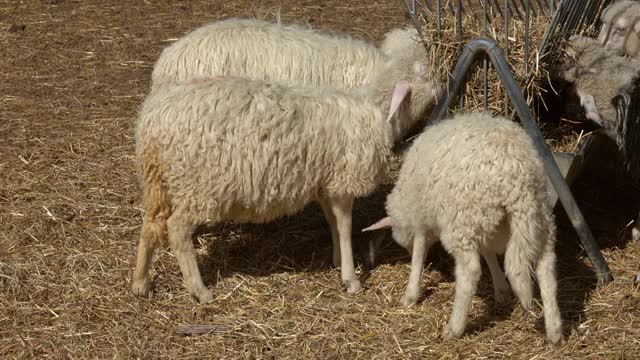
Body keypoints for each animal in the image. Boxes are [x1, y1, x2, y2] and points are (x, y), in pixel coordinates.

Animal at [132, 45, 442, 304]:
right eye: (422, 72)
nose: (441, 82)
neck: (375, 111)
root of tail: (153, 120)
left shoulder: (324, 184)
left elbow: (332, 222)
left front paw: (337, 261)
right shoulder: (342, 181)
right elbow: (344, 226)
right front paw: (351, 279)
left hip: (158, 181)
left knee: (150, 225)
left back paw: (140, 283)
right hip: (198, 185)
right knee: (177, 229)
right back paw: (199, 290)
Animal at [362, 112, 564, 344]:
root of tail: (517, 177)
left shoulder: (422, 219)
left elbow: (419, 255)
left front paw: (410, 294)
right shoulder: (484, 227)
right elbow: (489, 254)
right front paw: (501, 290)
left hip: (463, 220)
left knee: (470, 271)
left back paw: (454, 328)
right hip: (537, 218)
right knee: (546, 267)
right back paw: (555, 331)